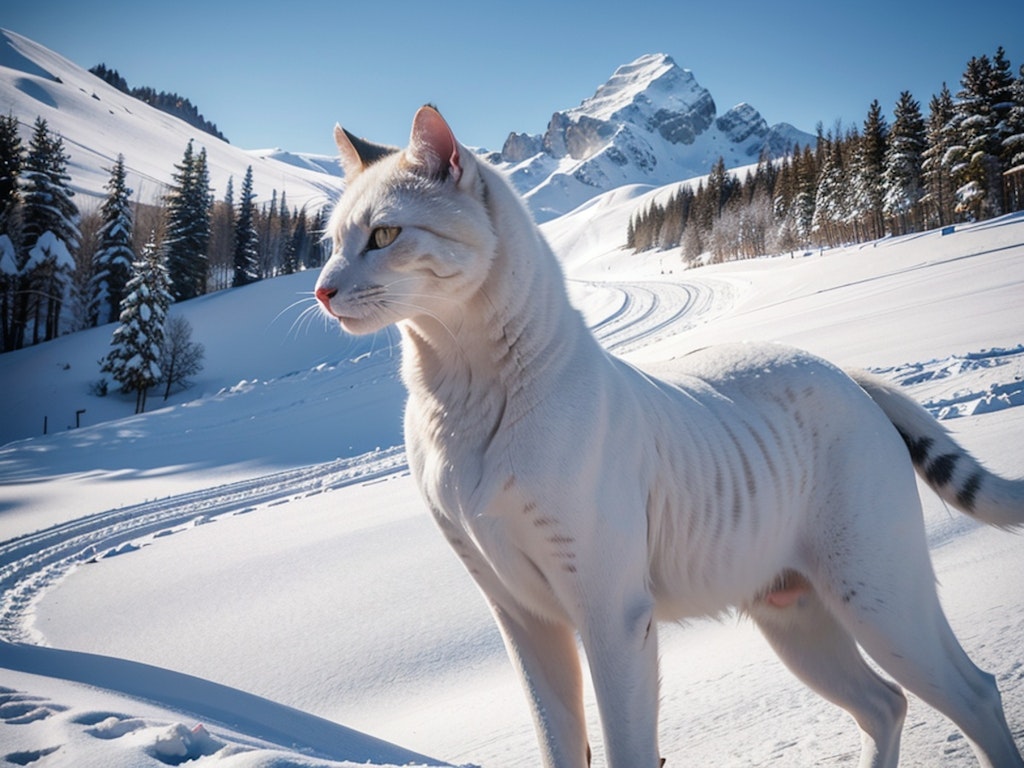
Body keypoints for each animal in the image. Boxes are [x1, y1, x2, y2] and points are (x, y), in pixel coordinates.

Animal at [313, 107, 1024, 768]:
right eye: (330, 243)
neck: (460, 393)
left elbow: (627, 746)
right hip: (796, 615)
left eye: (384, 234)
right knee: (884, 705)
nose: (321, 290)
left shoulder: (611, 610)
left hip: (880, 594)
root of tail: (846, 373)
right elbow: (557, 742)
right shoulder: (521, 616)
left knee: (976, 693)